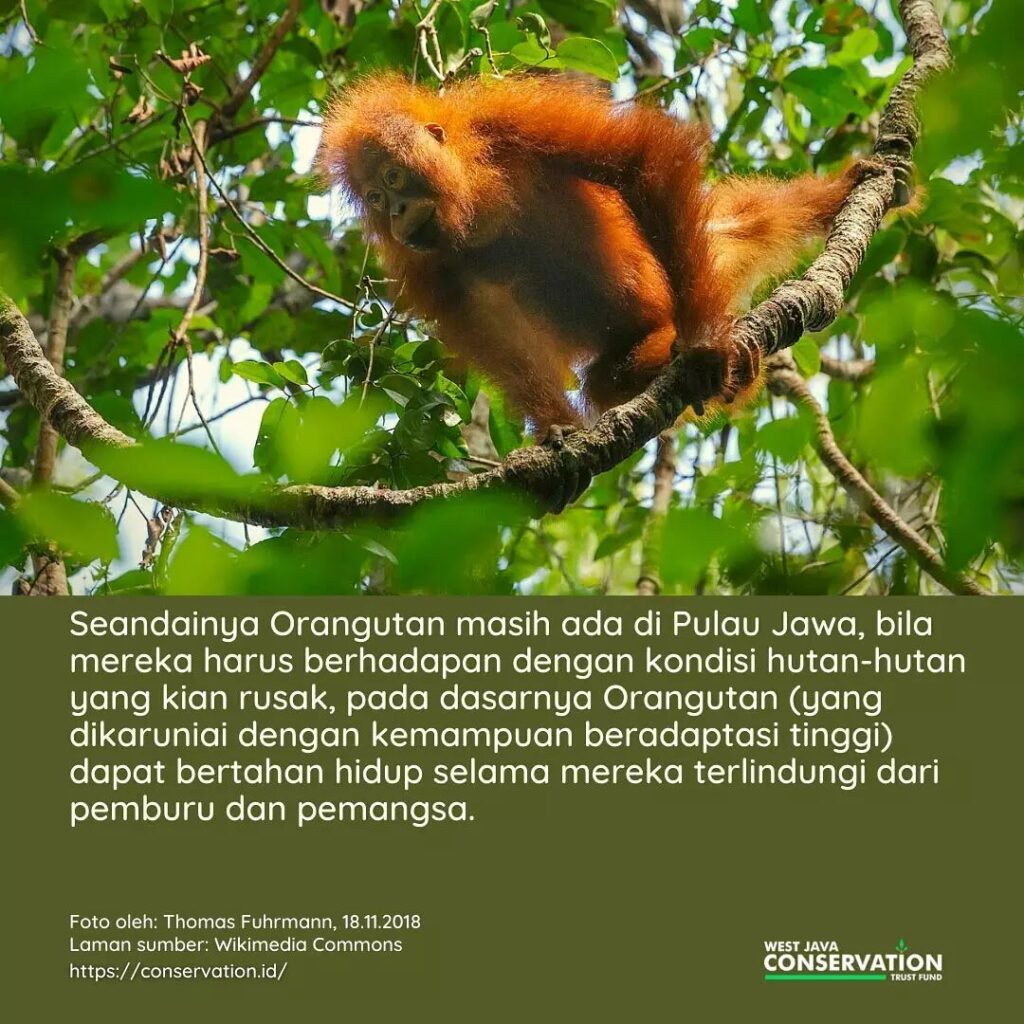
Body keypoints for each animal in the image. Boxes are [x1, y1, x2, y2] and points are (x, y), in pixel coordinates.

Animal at [319, 73, 878, 442]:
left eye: (393, 177)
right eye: (374, 198)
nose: (394, 211)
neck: (472, 200)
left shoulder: (510, 119)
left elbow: (638, 158)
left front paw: (703, 348)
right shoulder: (425, 264)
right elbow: (484, 320)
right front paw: (558, 432)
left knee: (743, 221)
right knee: (605, 382)